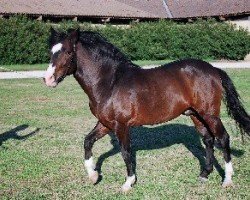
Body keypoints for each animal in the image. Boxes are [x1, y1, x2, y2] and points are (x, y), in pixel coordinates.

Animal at [44, 28, 249, 192]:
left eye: (68, 52)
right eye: (51, 52)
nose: (48, 79)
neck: (110, 82)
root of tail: (213, 69)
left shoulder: (121, 125)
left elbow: (126, 152)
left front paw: (128, 183)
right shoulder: (105, 123)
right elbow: (88, 142)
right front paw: (93, 176)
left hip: (210, 114)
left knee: (223, 138)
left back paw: (227, 180)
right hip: (196, 115)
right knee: (208, 140)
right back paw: (204, 175)